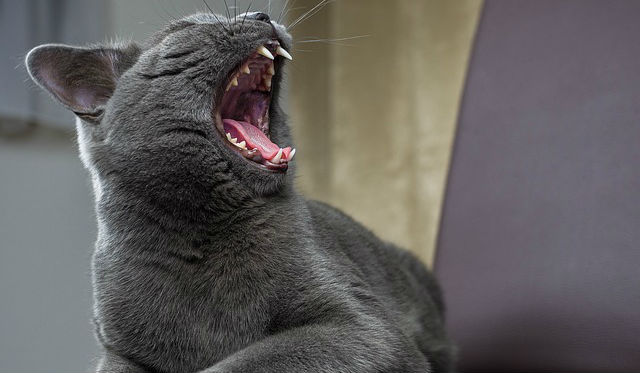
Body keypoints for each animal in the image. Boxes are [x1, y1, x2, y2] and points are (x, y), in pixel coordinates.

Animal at [26, 10, 456, 370]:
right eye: (189, 26)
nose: (261, 14)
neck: (200, 229)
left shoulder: (361, 325)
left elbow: (243, 361)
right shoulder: (118, 351)